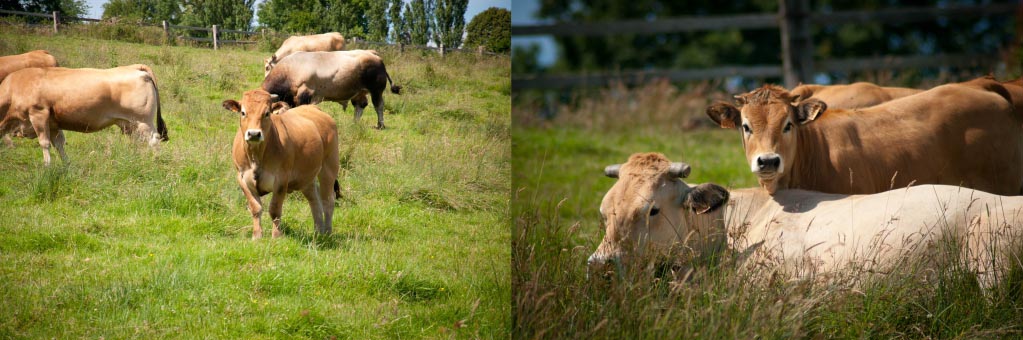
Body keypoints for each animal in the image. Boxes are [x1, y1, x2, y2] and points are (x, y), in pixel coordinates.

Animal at [0, 64, 167, 164]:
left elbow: (45, 143)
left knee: (154, 140)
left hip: (143, 121)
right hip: (130, 124)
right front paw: (66, 166)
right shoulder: (53, 124)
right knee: (138, 141)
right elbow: (59, 144)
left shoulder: (38, 114)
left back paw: (155, 162)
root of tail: (134, 67)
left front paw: (47, 166)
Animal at [221, 89, 341, 240]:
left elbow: (275, 209)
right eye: (243, 112)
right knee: (315, 201)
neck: (256, 156)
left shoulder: (281, 180)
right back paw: (318, 232)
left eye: (267, 113)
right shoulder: (242, 178)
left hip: (329, 168)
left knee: (328, 201)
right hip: (306, 177)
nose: (254, 134)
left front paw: (277, 236)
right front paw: (257, 236)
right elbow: (255, 208)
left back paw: (327, 233)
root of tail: (314, 109)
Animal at [261, 49, 401, 129]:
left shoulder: (305, 94)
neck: (289, 70)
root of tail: (375, 56)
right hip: (359, 92)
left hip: (376, 91)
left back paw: (380, 125)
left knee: (379, 106)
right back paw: (354, 124)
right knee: (360, 106)